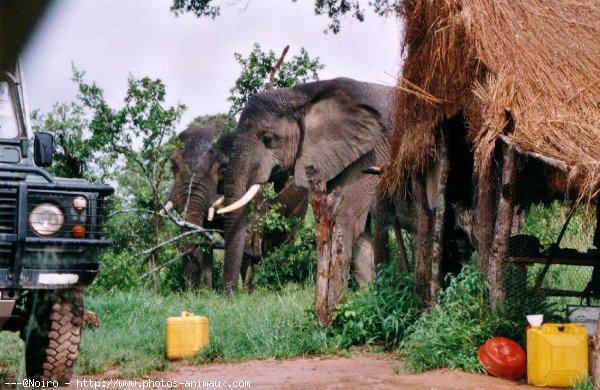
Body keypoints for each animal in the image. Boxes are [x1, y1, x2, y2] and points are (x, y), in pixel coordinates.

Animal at [165, 121, 310, 290]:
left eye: (222, 171)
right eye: (173, 166)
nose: (192, 290)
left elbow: (247, 233)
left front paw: (248, 292)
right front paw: (204, 292)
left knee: (285, 239)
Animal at [216, 77, 394, 290]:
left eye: (268, 139)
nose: (231, 294)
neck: (303, 95)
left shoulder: (369, 155)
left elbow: (345, 219)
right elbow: (360, 233)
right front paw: (367, 291)